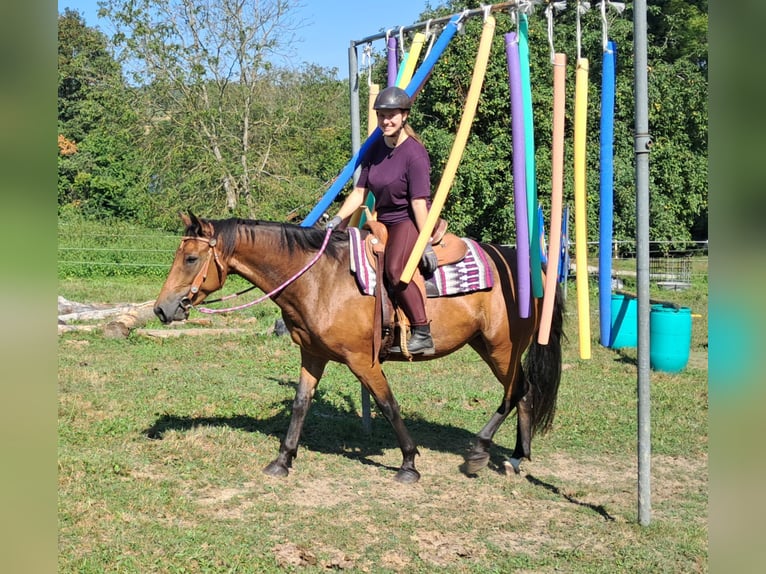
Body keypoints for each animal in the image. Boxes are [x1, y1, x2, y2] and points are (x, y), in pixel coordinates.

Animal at [154, 214, 564, 484]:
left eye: (191, 258)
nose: (162, 308)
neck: (319, 279)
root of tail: (532, 270)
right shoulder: (312, 356)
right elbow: (301, 404)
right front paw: (283, 459)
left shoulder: (362, 361)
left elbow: (387, 404)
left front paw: (409, 463)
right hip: (490, 346)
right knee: (524, 393)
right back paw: (516, 458)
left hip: (501, 347)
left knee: (515, 391)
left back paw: (480, 450)